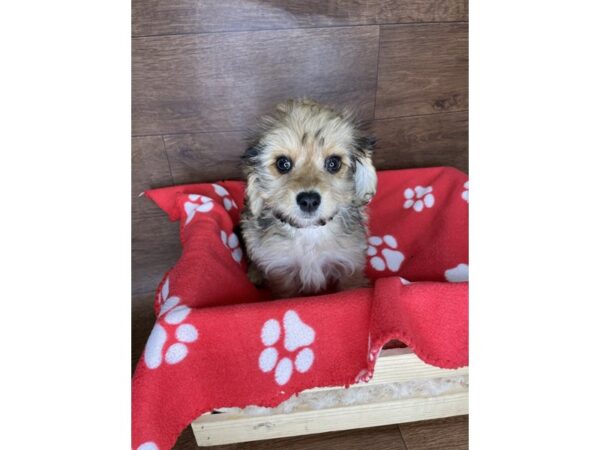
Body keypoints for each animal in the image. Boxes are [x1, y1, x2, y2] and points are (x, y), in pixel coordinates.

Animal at [238, 100, 376, 298]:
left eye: (334, 163)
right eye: (283, 163)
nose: (309, 200)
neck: (309, 232)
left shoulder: (349, 263)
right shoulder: (281, 271)